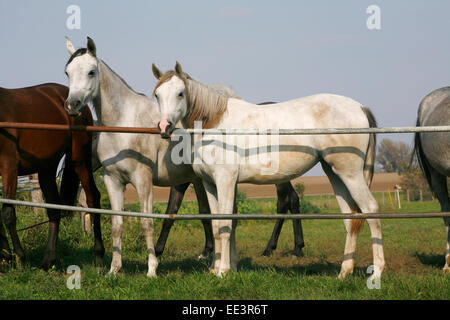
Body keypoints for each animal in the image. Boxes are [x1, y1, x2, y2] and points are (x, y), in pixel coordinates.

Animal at [0, 83, 103, 270]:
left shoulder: (8, 166)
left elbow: (8, 212)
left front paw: (19, 257)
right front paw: (5, 257)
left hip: (80, 160)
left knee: (92, 198)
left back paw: (99, 258)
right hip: (47, 169)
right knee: (54, 207)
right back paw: (48, 259)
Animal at [152, 62, 384, 278]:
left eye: (180, 93)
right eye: (157, 95)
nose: (164, 127)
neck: (215, 124)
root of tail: (360, 107)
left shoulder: (225, 181)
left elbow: (226, 224)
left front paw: (223, 271)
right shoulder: (210, 184)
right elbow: (217, 226)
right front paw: (218, 268)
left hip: (350, 174)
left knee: (370, 209)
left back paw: (377, 272)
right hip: (335, 173)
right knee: (351, 218)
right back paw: (344, 272)